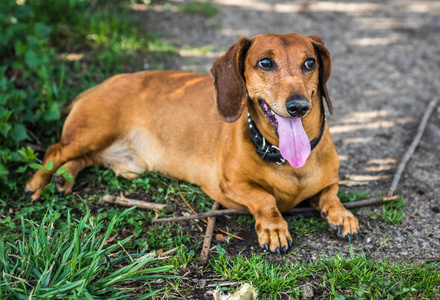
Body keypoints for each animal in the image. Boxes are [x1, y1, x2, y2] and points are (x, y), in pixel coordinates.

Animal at [25, 32, 360, 253]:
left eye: (309, 63)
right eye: (265, 62)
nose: (298, 106)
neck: (284, 160)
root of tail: (100, 85)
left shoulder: (329, 183)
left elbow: (330, 195)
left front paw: (341, 214)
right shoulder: (230, 183)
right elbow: (265, 199)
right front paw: (274, 228)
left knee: (83, 159)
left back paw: (65, 180)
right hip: (91, 132)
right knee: (55, 151)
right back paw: (37, 185)